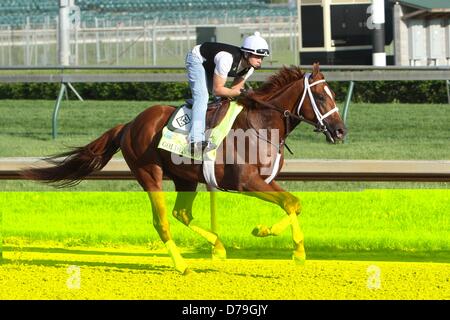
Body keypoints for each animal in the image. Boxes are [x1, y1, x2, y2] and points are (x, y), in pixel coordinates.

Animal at [22, 63, 348, 276]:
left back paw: (218, 248)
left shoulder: (264, 180)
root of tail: (129, 125)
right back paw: (182, 265)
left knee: (182, 213)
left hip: (185, 178)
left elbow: (294, 203)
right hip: (149, 174)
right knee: (162, 221)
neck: (261, 124)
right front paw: (276, 238)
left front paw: (289, 246)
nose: (341, 131)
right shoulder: (246, 181)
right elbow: (291, 202)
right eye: (321, 97)